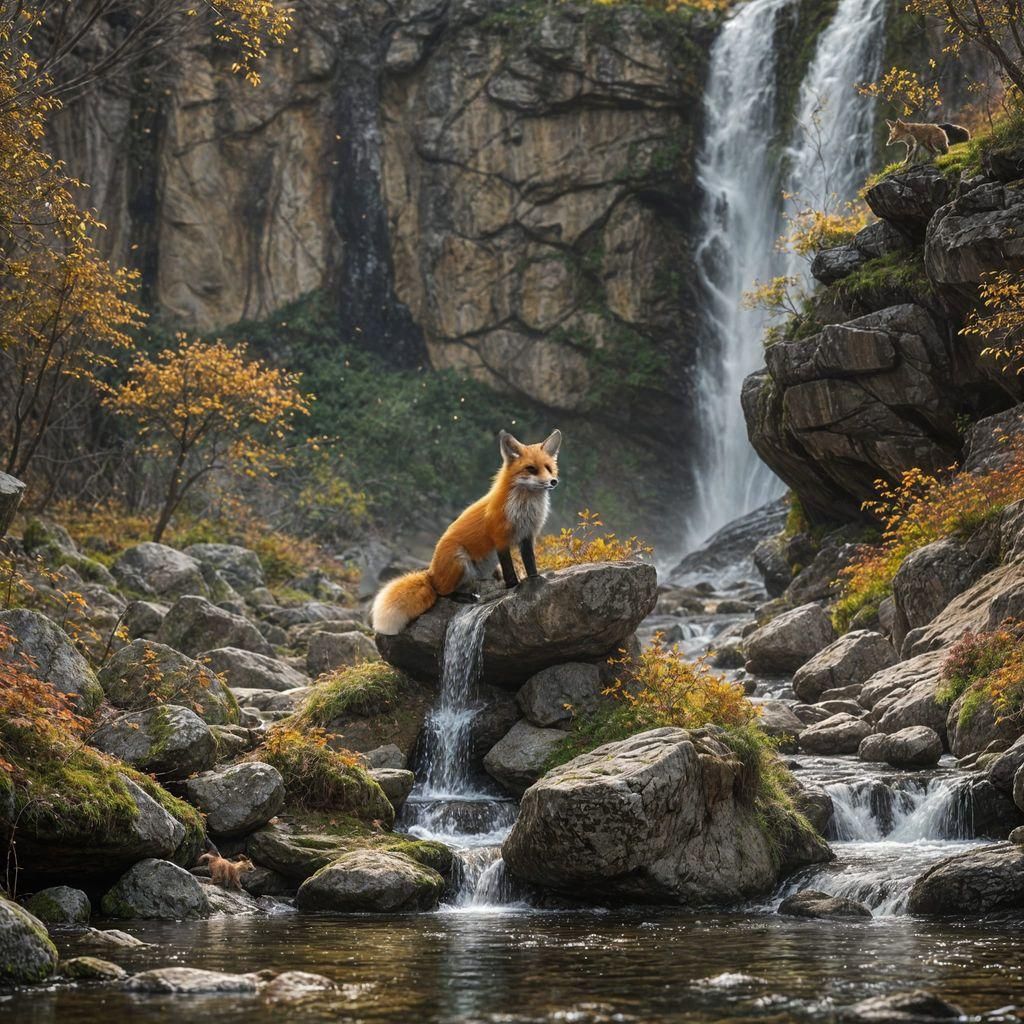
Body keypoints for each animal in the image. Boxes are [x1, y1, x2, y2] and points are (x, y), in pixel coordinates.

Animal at [370, 428, 561, 635]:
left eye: (548, 468)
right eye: (531, 469)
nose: (553, 481)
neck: (524, 508)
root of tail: (431, 573)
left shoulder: (527, 535)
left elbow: (530, 562)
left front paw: (535, 579)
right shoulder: (500, 537)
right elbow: (510, 569)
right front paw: (513, 586)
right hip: (459, 560)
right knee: (442, 593)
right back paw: (465, 597)